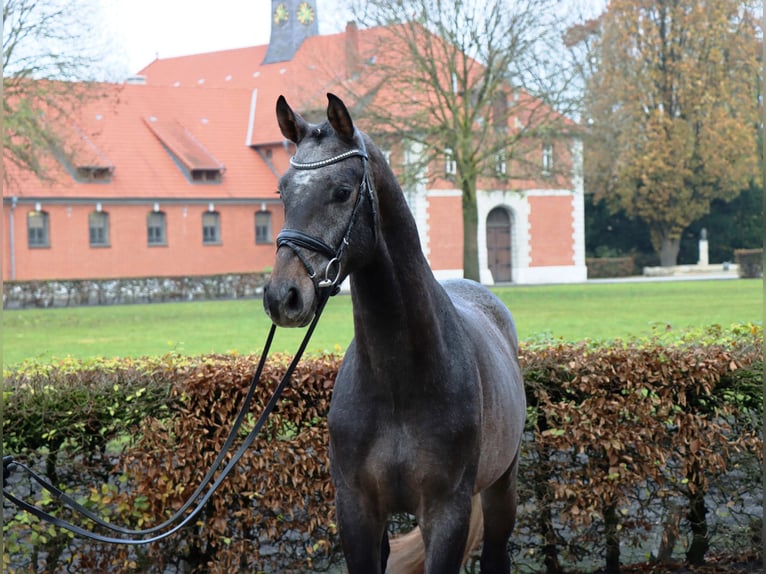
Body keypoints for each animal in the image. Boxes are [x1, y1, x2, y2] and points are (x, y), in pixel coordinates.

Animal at [264, 94, 528, 574]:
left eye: (342, 191)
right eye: (282, 191)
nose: (283, 296)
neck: (399, 379)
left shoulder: (446, 512)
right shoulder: (357, 510)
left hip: (502, 488)